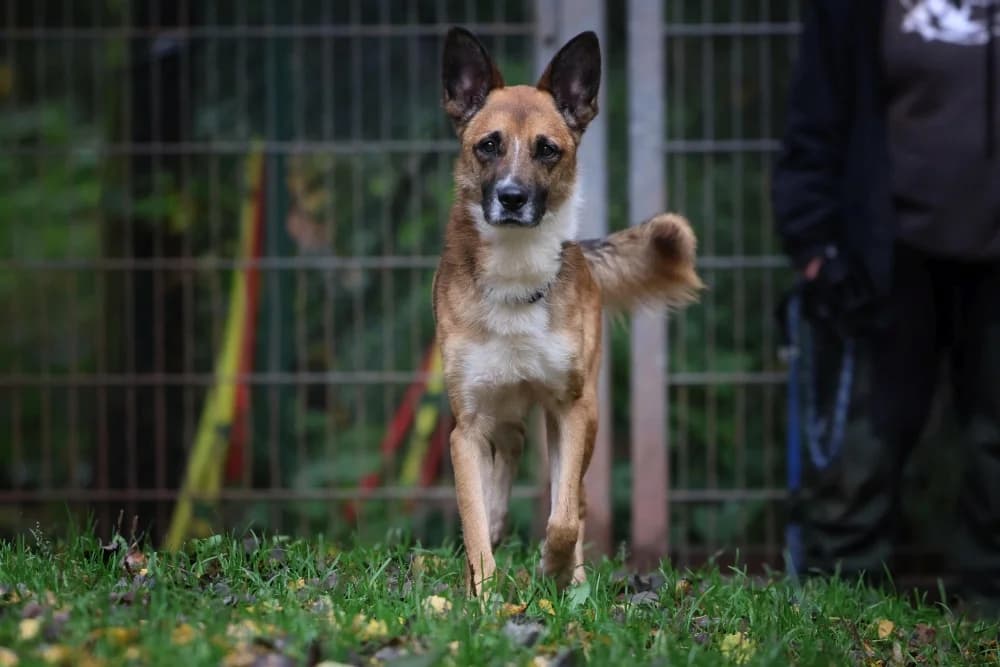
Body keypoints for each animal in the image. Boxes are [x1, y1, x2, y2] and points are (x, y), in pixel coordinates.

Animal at [433, 26, 703, 595]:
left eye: (547, 150)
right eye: (488, 145)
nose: (512, 197)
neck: (516, 280)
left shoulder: (570, 410)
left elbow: (563, 517)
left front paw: (553, 570)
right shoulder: (467, 427)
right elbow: (474, 519)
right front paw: (483, 594)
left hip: (589, 419)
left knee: (573, 498)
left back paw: (572, 579)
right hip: (505, 416)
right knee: (506, 467)